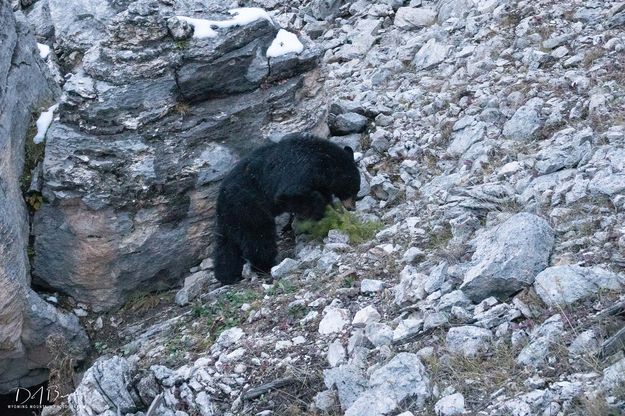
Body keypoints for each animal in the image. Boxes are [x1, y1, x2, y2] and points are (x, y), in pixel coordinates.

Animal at [213, 135, 360, 284]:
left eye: (356, 189)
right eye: (352, 189)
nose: (352, 207)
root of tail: (221, 197)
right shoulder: (299, 170)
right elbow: (290, 195)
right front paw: (321, 214)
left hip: (231, 217)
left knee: (226, 245)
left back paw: (227, 274)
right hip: (248, 206)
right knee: (259, 236)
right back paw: (265, 265)